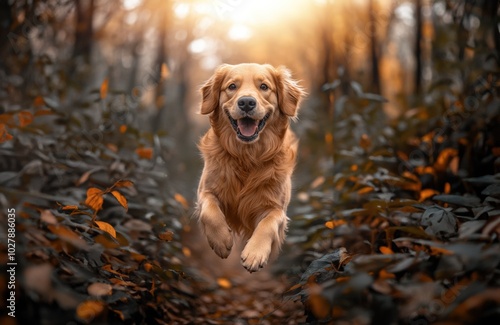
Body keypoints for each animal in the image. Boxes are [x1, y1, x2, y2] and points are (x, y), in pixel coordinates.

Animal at [195, 62, 304, 270]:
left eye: (264, 87)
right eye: (231, 86)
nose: (246, 102)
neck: (246, 156)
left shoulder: (277, 208)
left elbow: (269, 223)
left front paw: (255, 253)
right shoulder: (205, 190)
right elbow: (209, 209)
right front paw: (221, 241)